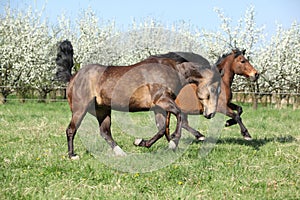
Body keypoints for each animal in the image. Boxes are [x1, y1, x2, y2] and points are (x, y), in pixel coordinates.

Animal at [55, 41, 220, 159]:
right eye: (214, 89)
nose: (210, 114)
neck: (172, 69)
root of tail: (73, 77)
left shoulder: (159, 108)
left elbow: (162, 129)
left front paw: (143, 142)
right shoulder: (163, 101)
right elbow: (178, 116)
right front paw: (173, 143)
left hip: (102, 110)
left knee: (105, 132)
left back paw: (121, 153)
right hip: (80, 109)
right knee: (71, 129)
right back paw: (72, 155)